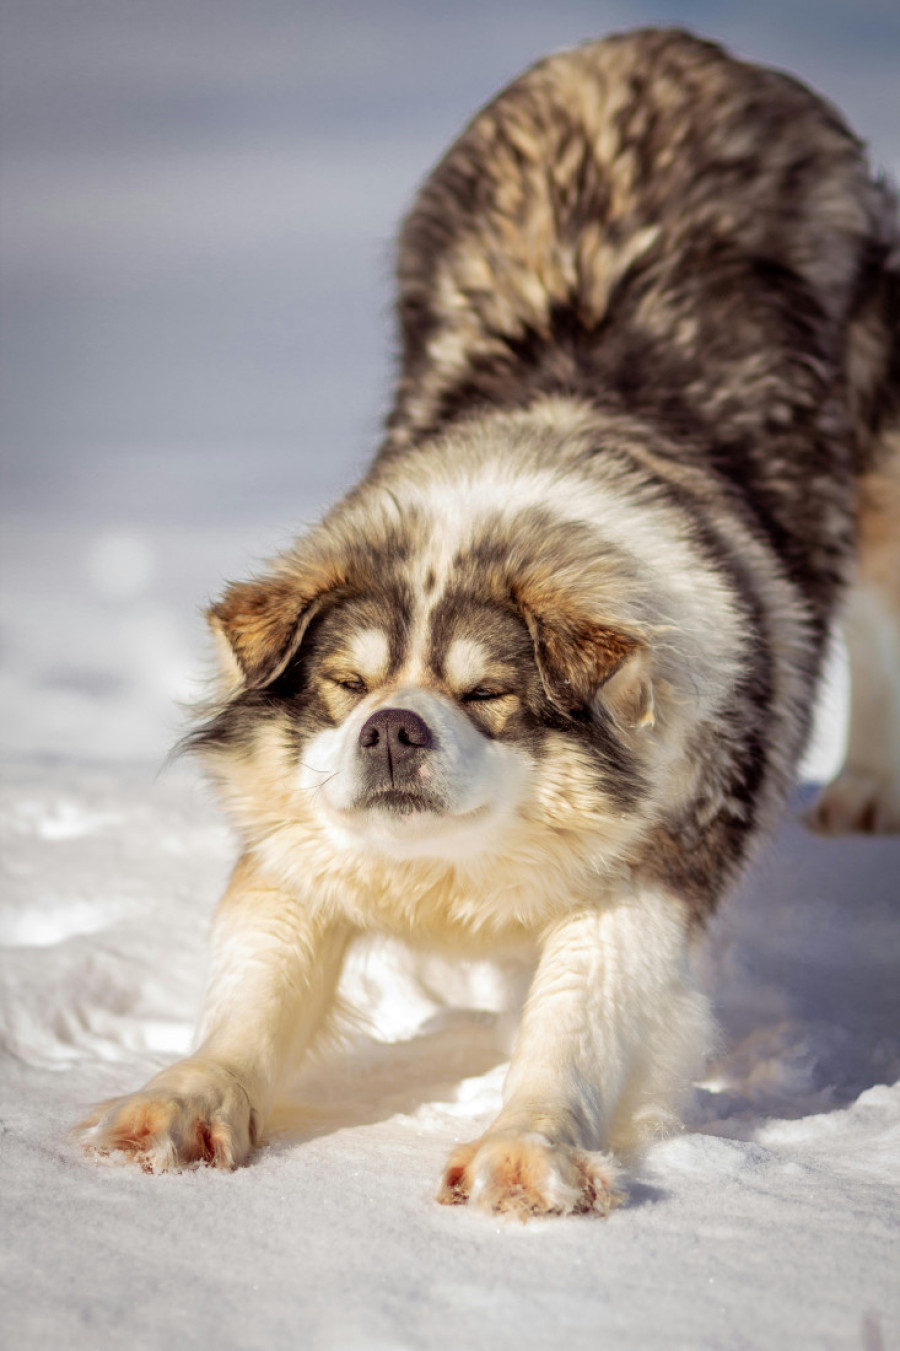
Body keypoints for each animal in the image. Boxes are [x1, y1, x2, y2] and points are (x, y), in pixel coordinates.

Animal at [78, 29, 897, 1215]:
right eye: (347, 686)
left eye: (487, 695)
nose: (393, 729)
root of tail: (659, 42)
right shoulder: (297, 843)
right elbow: (255, 988)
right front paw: (181, 1101)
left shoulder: (647, 865)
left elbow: (580, 1014)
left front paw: (528, 1146)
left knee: (877, 609)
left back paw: (870, 785)